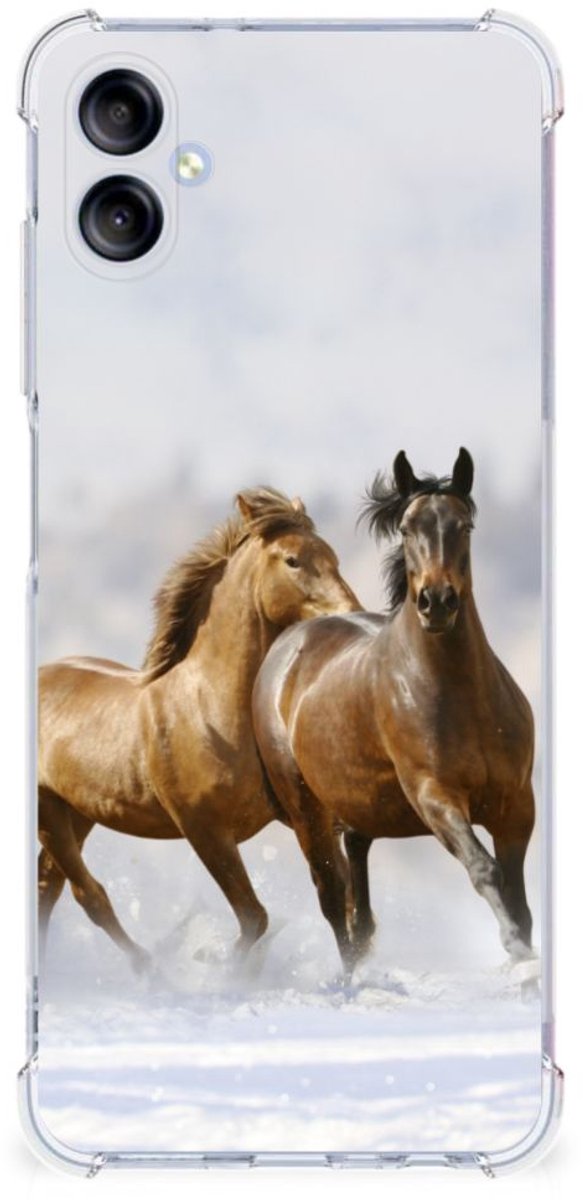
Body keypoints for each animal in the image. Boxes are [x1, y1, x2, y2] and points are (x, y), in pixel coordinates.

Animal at [38, 487, 360, 973]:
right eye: (293, 560)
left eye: (333, 555)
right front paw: (218, 967)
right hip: (50, 812)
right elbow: (255, 918)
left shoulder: (302, 816)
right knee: (86, 894)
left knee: (50, 886)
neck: (210, 708)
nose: (352, 614)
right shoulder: (204, 830)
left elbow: (336, 894)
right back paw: (150, 968)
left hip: (77, 812)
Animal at [252, 450, 536, 974]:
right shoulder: (435, 796)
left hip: (358, 809)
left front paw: (524, 952)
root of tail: (287, 645)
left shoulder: (516, 805)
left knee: (357, 898)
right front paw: (516, 950)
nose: (436, 602)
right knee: (332, 898)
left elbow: (519, 896)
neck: (462, 697)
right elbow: (485, 869)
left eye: (464, 525)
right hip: (307, 811)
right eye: (406, 528)